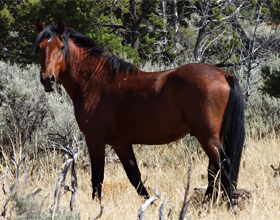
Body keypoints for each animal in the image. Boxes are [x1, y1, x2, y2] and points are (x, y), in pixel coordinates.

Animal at [34, 18, 245, 207]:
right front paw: (151, 204)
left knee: (224, 167)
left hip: (207, 136)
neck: (94, 80)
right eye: (40, 48)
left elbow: (98, 176)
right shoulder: (121, 144)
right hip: (215, 137)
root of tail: (225, 75)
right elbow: (135, 178)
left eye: (61, 47)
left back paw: (229, 206)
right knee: (214, 171)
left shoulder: (95, 139)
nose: (47, 80)